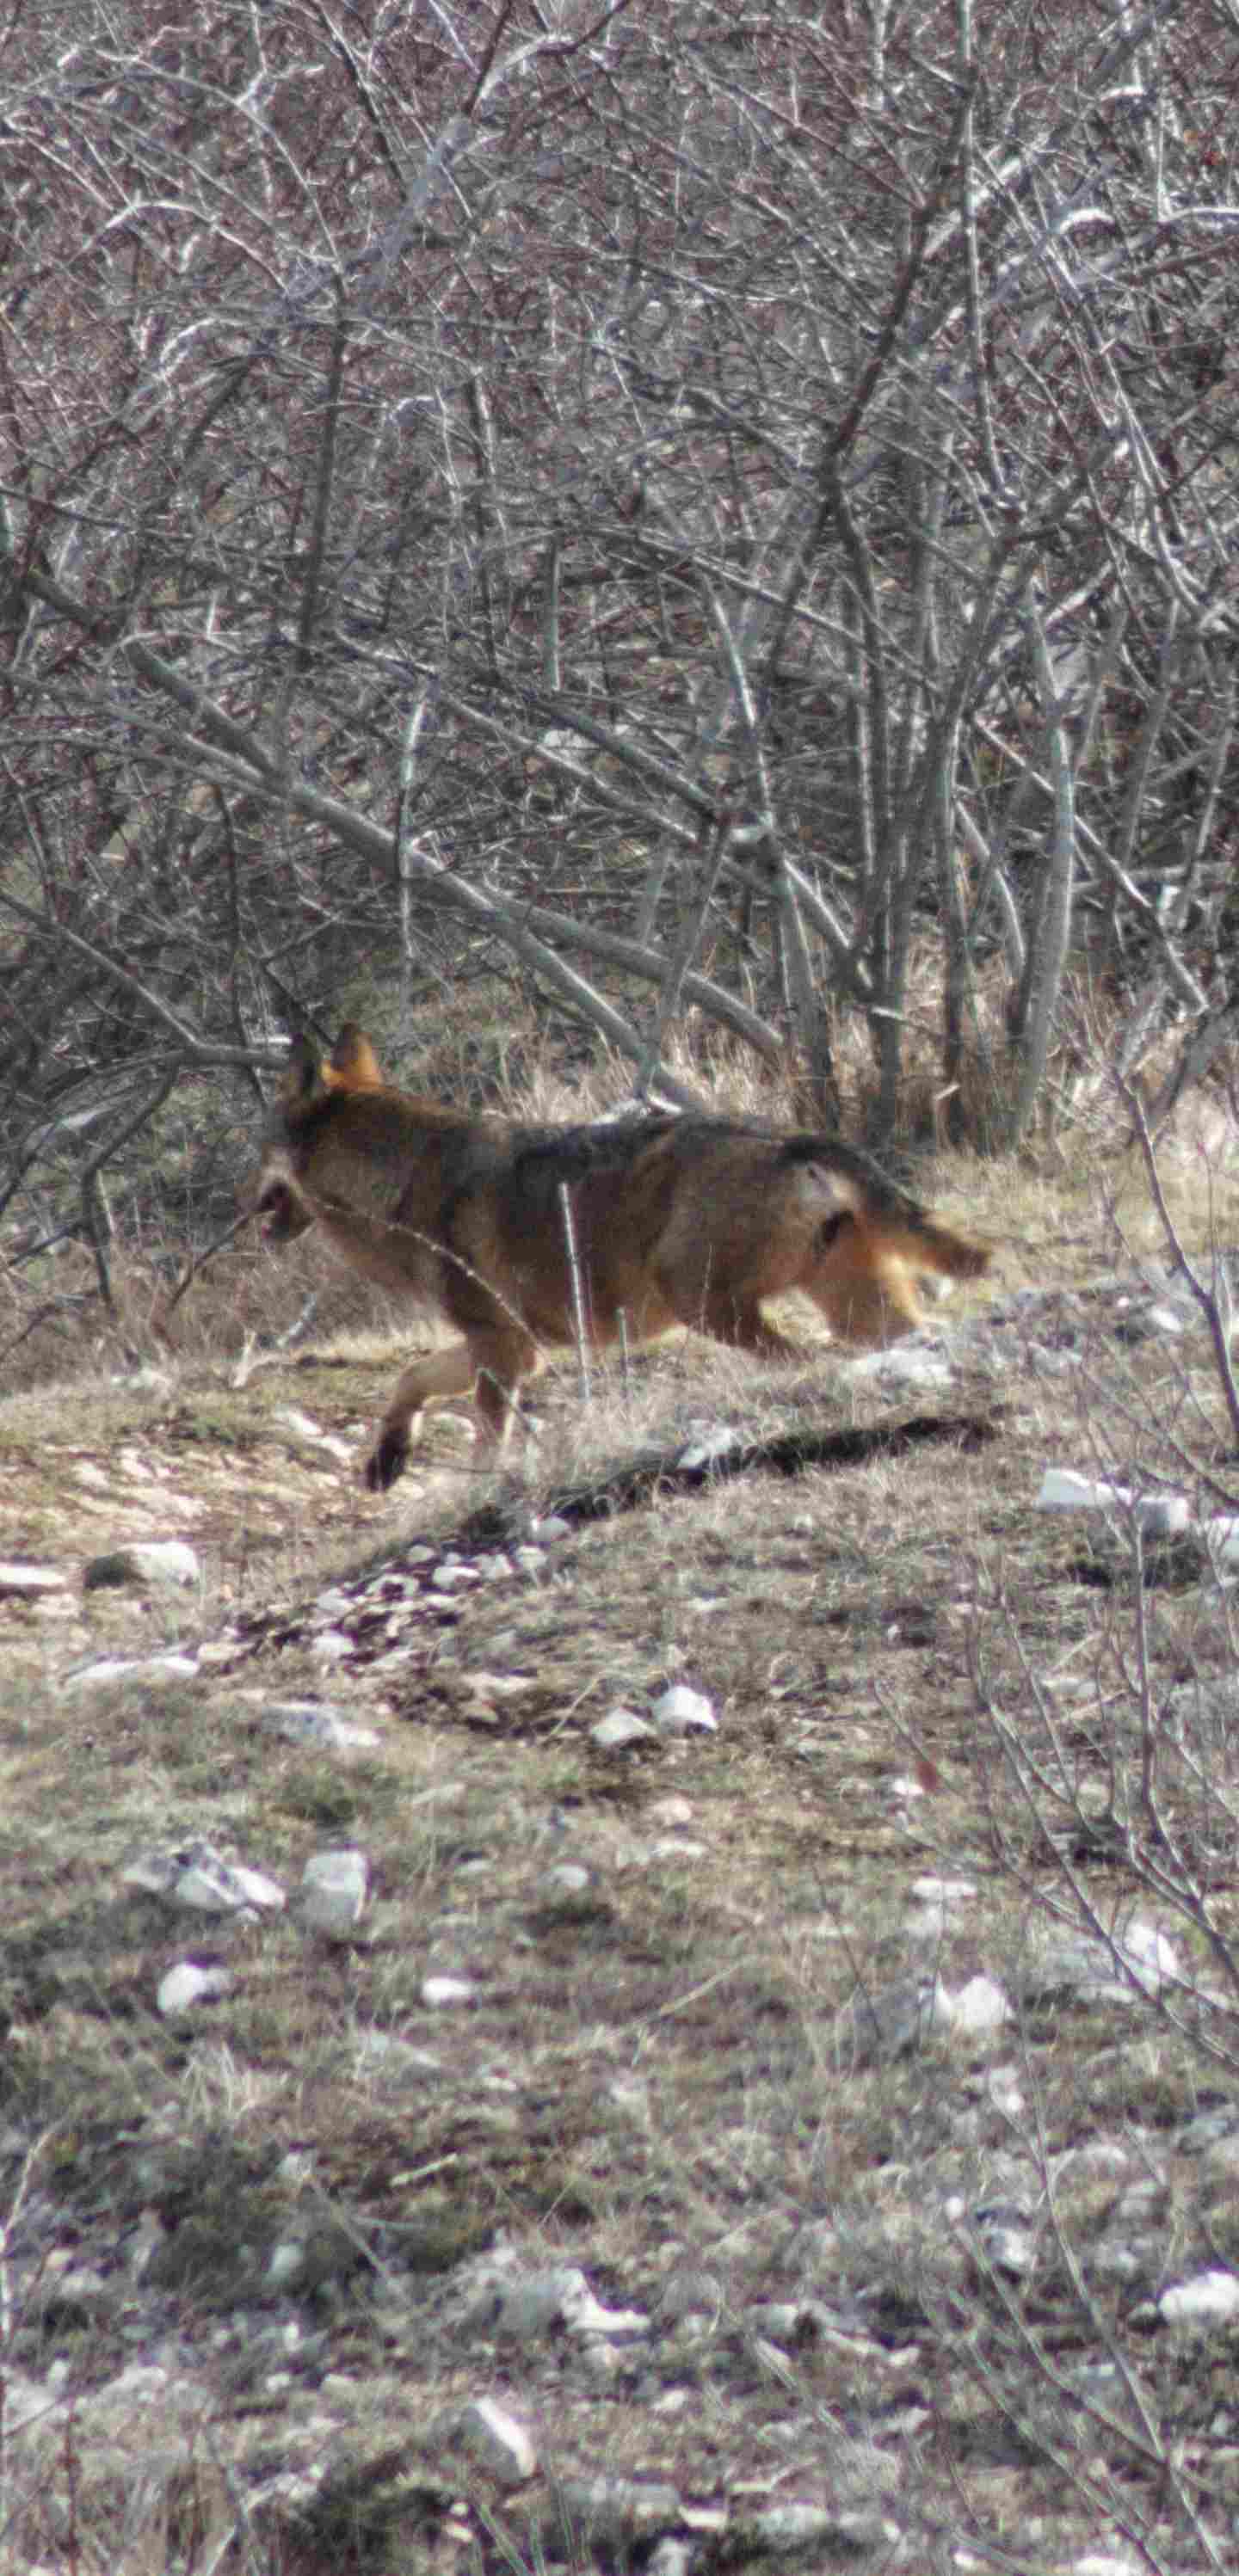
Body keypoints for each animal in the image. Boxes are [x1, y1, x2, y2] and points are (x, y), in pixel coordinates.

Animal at [250, 1025, 983, 1494]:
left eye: (260, 1149)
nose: (244, 1203)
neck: (398, 1183)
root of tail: (791, 1137)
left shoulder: (501, 1350)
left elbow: (488, 1441)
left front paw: (473, 1491)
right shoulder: (512, 1345)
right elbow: (409, 1378)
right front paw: (387, 1458)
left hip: (708, 1305)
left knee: (803, 1363)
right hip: (855, 1311)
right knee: (902, 1340)